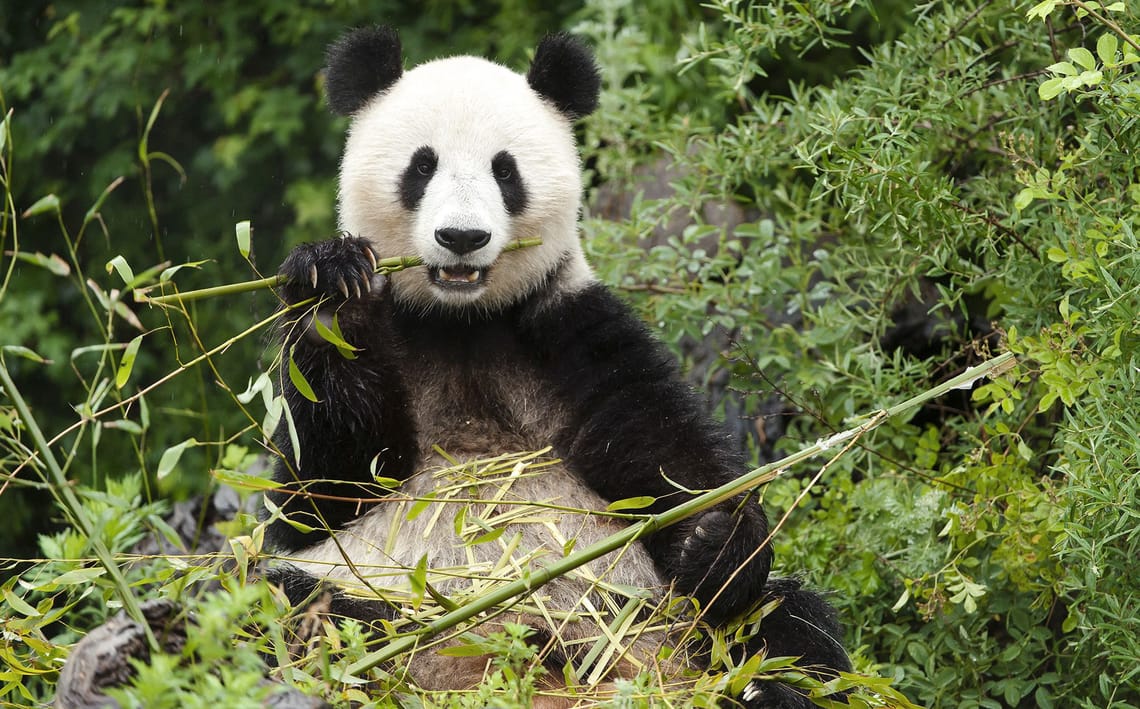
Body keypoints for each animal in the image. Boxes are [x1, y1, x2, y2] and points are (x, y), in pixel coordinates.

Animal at [266, 26, 850, 708]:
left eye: (505, 170)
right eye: (422, 165)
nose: (461, 238)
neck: (460, 323)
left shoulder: (568, 335)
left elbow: (666, 456)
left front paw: (715, 539)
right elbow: (324, 486)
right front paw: (334, 286)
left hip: (659, 622)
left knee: (785, 626)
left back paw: (763, 686)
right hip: (375, 599)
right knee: (293, 607)